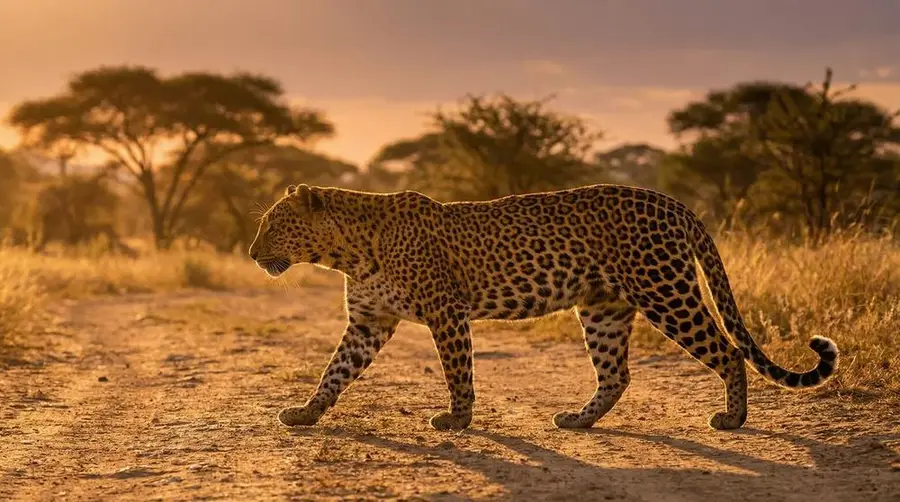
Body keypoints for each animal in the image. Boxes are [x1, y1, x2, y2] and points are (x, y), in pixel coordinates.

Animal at [248, 183, 839, 432]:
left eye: (274, 225)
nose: (252, 255)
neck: (346, 251)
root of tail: (676, 204)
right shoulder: (369, 322)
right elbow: (334, 372)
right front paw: (306, 413)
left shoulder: (445, 312)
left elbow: (457, 371)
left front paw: (457, 420)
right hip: (604, 308)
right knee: (616, 374)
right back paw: (579, 420)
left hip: (665, 292)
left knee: (728, 351)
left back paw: (733, 419)